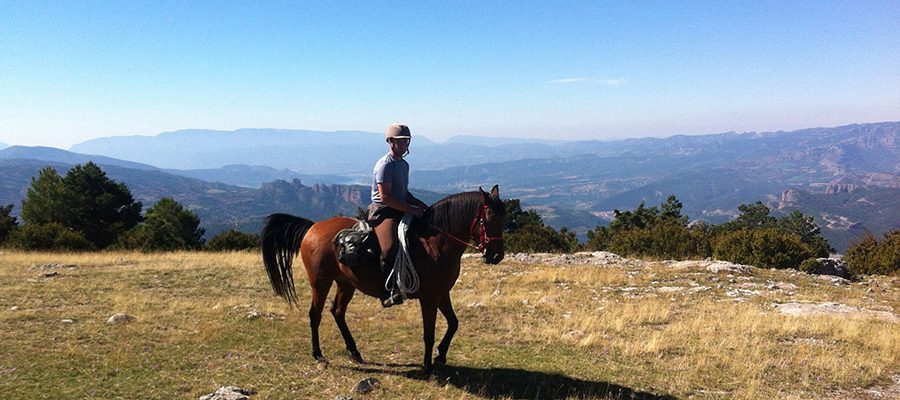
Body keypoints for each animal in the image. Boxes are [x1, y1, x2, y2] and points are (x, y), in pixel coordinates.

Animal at [258, 186, 506, 370]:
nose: (496, 255)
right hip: (321, 282)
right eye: (488, 218)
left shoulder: (441, 293)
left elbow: (454, 323)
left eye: (503, 218)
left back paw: (354, 351)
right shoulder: (429, 298)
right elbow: (429, 332)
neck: (435, 243)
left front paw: (440, 356)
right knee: (315, 314)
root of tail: (313, 227)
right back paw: (318, 354)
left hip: (346, 283)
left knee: (337, 311)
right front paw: (428, 365)